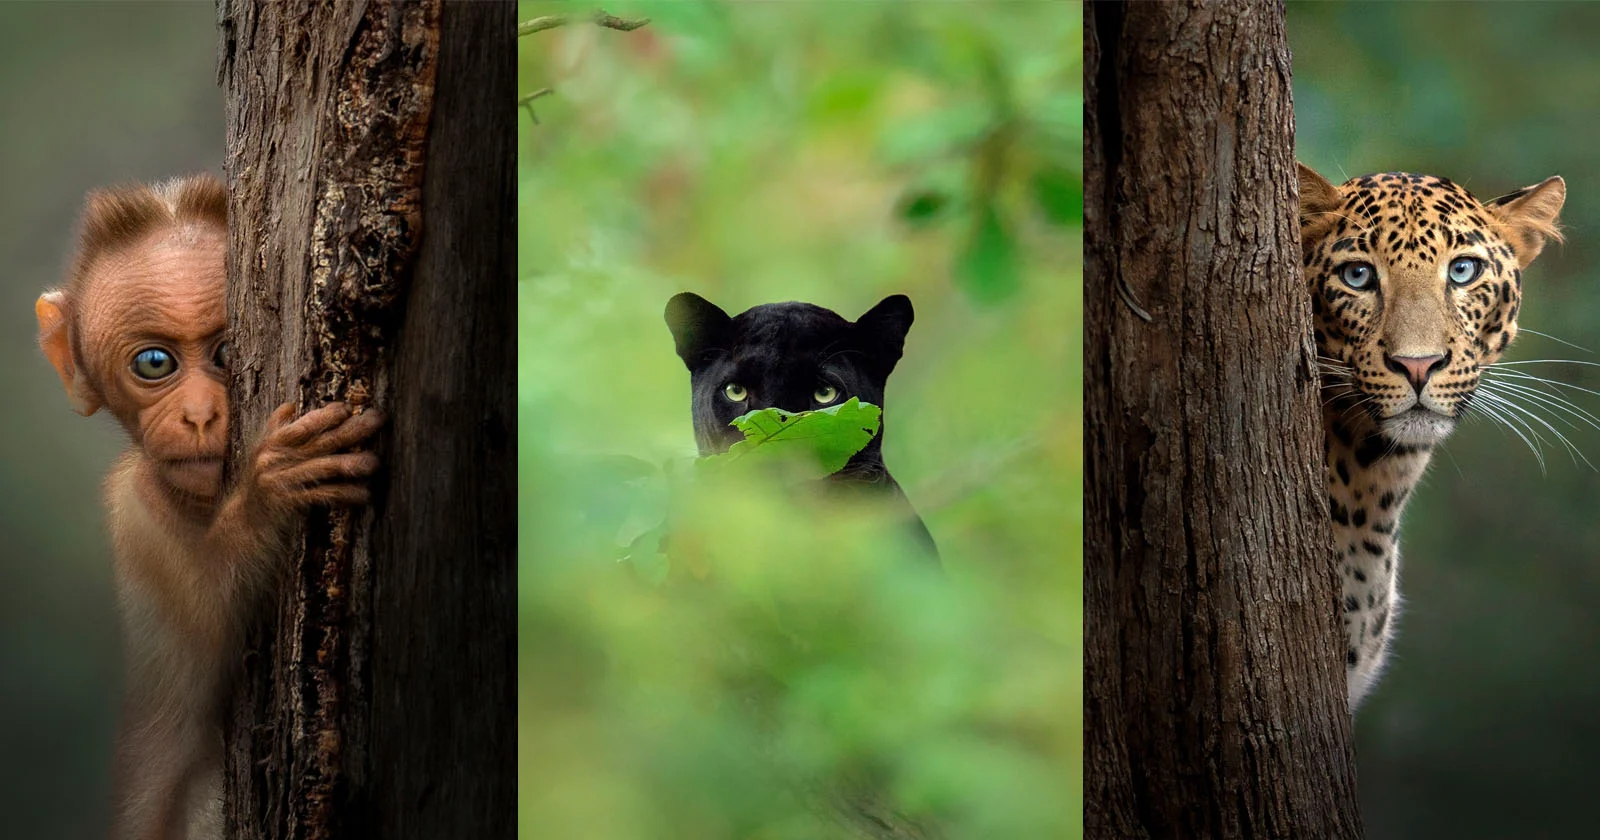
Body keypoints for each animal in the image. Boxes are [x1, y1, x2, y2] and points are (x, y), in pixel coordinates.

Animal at [34, 173, 384, 832]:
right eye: (154, 363)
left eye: (227, 353)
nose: (199, 415)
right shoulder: (134, 507)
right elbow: (209, 634)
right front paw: (270, 493)